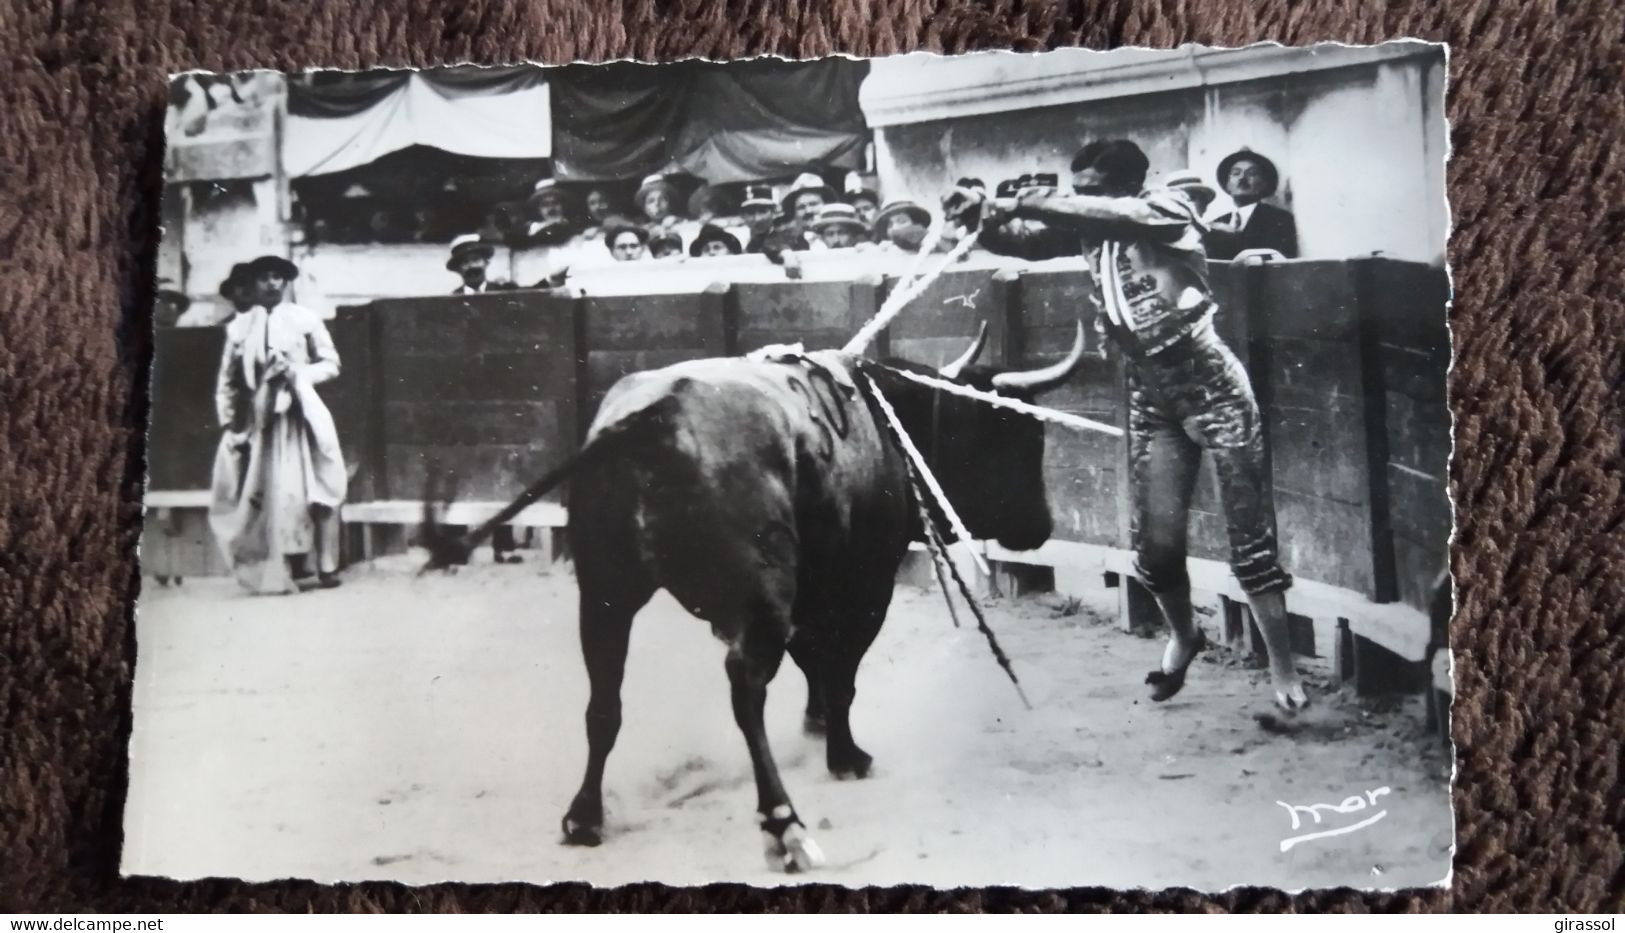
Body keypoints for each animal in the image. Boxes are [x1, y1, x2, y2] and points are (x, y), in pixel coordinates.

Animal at [419, 321, 1085, 877]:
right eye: (1019, 434)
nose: (1042, 526)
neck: (888, 424)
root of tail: (653, 416)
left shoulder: (802, 593)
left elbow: (814, 662)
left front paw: (817, 727)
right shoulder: (864, 584)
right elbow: (841, 672)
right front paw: (845, 754)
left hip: (606, 593)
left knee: (603, 701)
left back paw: (584, 816)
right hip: (753, 597)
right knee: (745, 689)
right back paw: (784, 826)